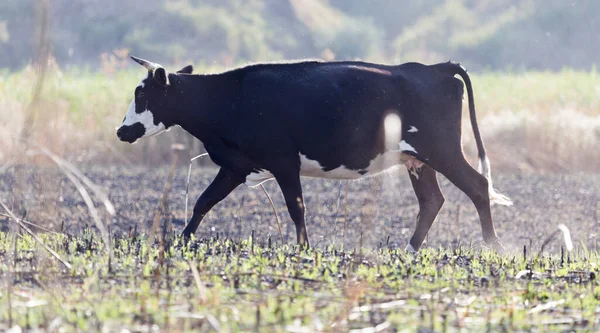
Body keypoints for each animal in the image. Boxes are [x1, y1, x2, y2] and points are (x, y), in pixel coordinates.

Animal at [118, 55, 516, 252]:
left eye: (142, 94)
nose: (122, 130)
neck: (231, 98)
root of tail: (435, 68)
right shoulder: (236, 165)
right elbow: (204, 201)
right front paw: (181, 242)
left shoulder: (283, 162)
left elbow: (297, 208)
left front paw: (304, 248)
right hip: (418, 160)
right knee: (432, 201)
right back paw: (409, 249)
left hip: (442, 150)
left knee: (477, 186)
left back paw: (494, 245)